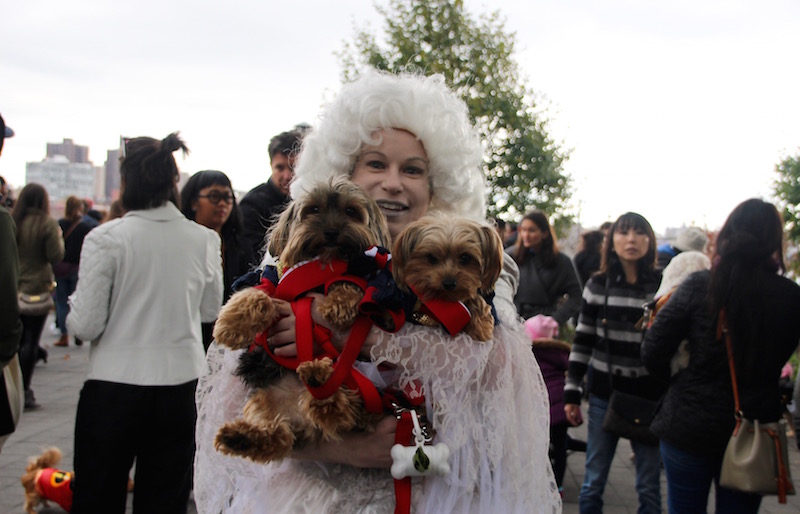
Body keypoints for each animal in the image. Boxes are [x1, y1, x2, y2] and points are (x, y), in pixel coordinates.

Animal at [211, 176, 390, 460]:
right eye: (313, 210)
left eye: (351, 211)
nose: (331, 232)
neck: (323, 264)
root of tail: (299, 416)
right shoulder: (270, 282)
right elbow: (256, 295)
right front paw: (230, 325)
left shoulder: (363, 278)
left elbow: (351, 283)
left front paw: (338, 307)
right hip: (264, 399)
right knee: (278, 437)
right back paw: (240, 438)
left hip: (357, 387)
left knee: (345, 411)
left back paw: (322, 381)